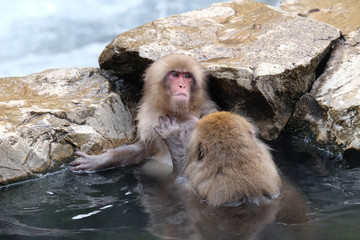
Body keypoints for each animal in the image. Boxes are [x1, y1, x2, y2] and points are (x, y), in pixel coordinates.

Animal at [69, 53, 218, 172]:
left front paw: (174, 138)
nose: (182, 86)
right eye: (175, 75)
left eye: (187, 76)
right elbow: (139, 149)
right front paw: (99, 160)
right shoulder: (150, 123)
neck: (178, 113)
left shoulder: (208, 114)